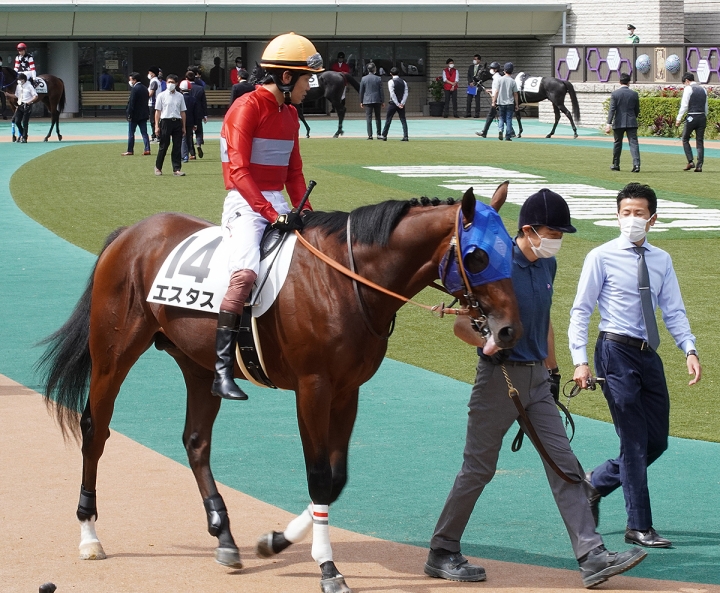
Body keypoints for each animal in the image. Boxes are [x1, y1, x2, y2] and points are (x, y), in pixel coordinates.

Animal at [38, 183, 521, 593]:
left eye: (513, 250)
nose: (509, 330)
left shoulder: (348, 390)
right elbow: (319, 476)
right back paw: (89, 534)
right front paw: (327, 568)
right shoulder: (313, 387)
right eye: (478, 256)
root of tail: (131, 232)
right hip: (113, 353)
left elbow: (336, 478)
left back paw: (224, 537)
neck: (346, 280)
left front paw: (274, 541)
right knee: (95, 428)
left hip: (197, 365)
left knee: (196, 442)